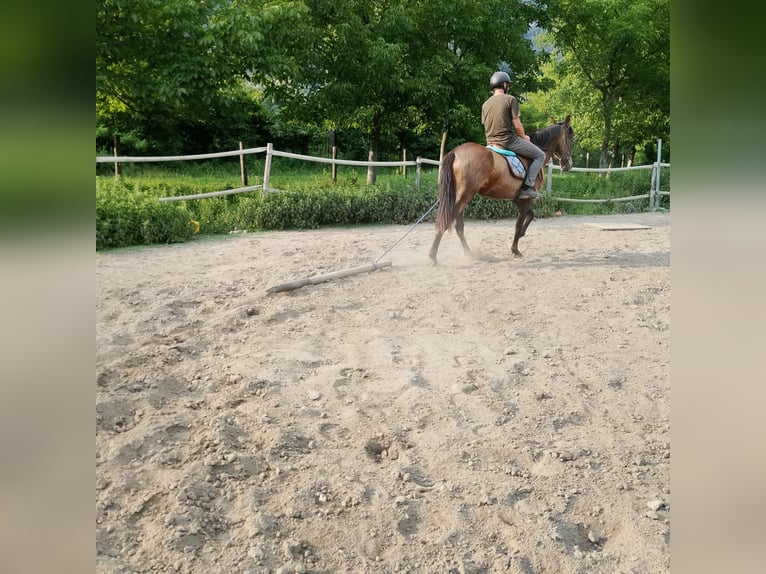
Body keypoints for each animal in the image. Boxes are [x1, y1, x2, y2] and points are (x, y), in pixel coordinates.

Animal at [429, 115, 574, 264]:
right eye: (571, 138)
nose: (568, 164)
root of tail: (455, 152)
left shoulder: (516, 198)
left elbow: (530, 215)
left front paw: (520, 236)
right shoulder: (527, 198)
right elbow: (519, 222)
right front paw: (515, 249)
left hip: (460, 197)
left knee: (458, 226)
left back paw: (469, 254)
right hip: (464, 196)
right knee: (448, 221)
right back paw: (433, 256)